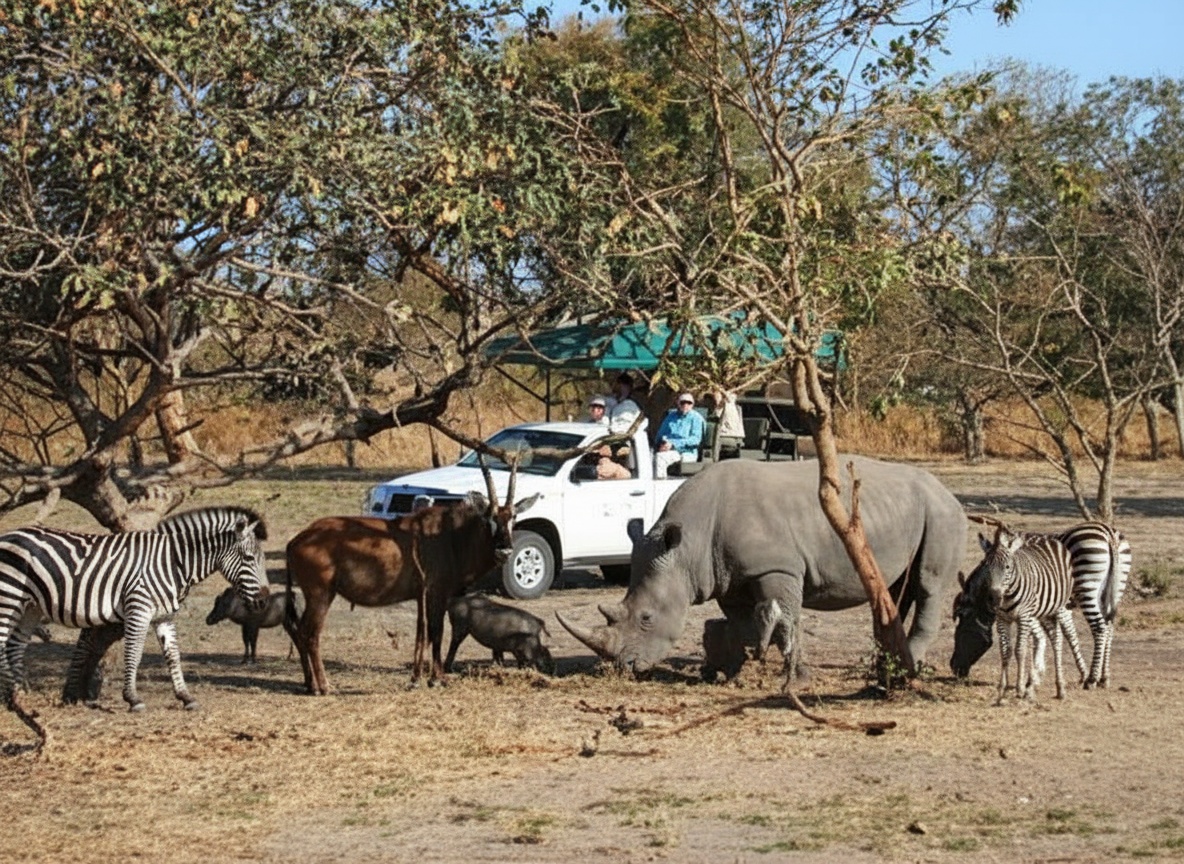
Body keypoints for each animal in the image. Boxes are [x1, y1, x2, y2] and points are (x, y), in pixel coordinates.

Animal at [558, 456, 966, 675]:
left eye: (646, 618)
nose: (623, 667)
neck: (687, 547)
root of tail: (950, 491)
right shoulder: (726, 575)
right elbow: (743, 620)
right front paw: (737, 665)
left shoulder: (778, 569)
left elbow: (786, 617)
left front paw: (789, 670)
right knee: (895, 588)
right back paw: (885, 663)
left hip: (942, 513)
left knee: (928, 585)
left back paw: (910, 665)